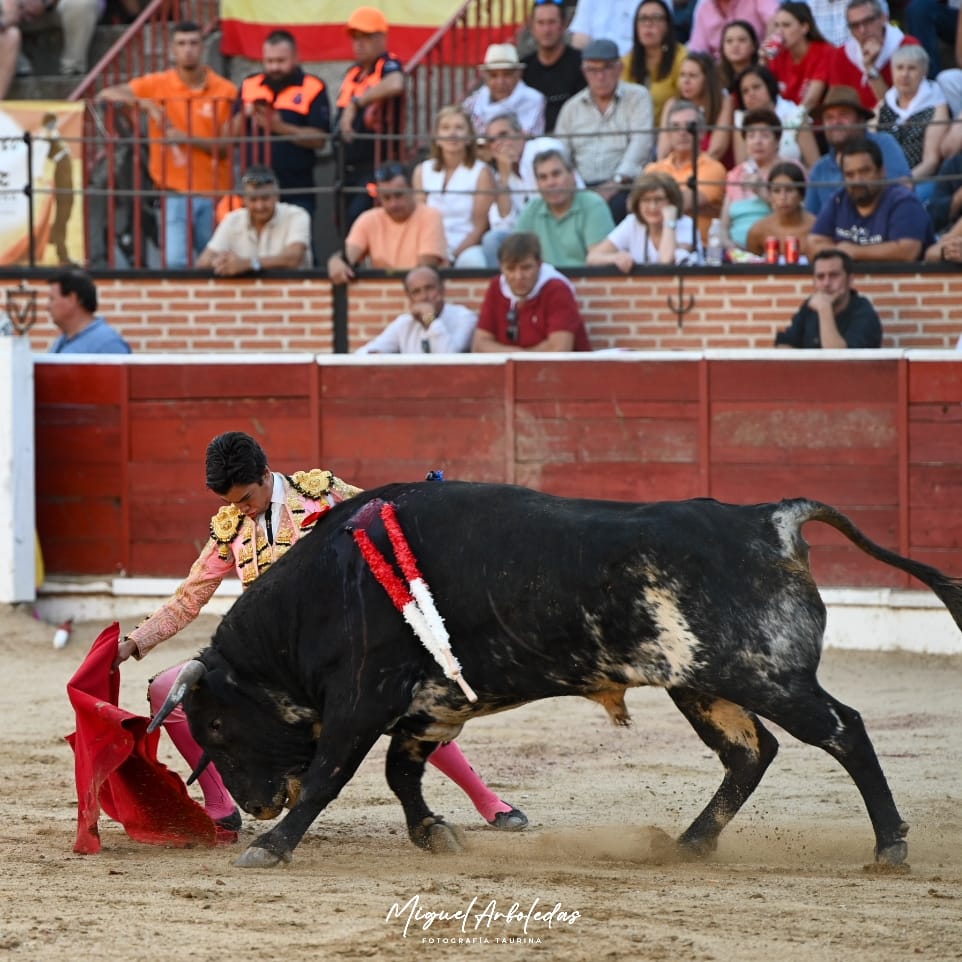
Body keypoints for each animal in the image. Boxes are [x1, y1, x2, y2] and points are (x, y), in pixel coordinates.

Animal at [150, 484, 960, 868]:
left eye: (215, 723)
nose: (255, 805)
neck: (324, 594)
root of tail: (769, 519)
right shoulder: (428, 705)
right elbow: (401, 773)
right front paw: (434, 834)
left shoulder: (362, 700)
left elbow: (331, 775)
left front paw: (271, 847)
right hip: (701, 683)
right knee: (750, 753)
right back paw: (688, 844)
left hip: (770, 676)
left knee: (843, 731)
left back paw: (890, 847)